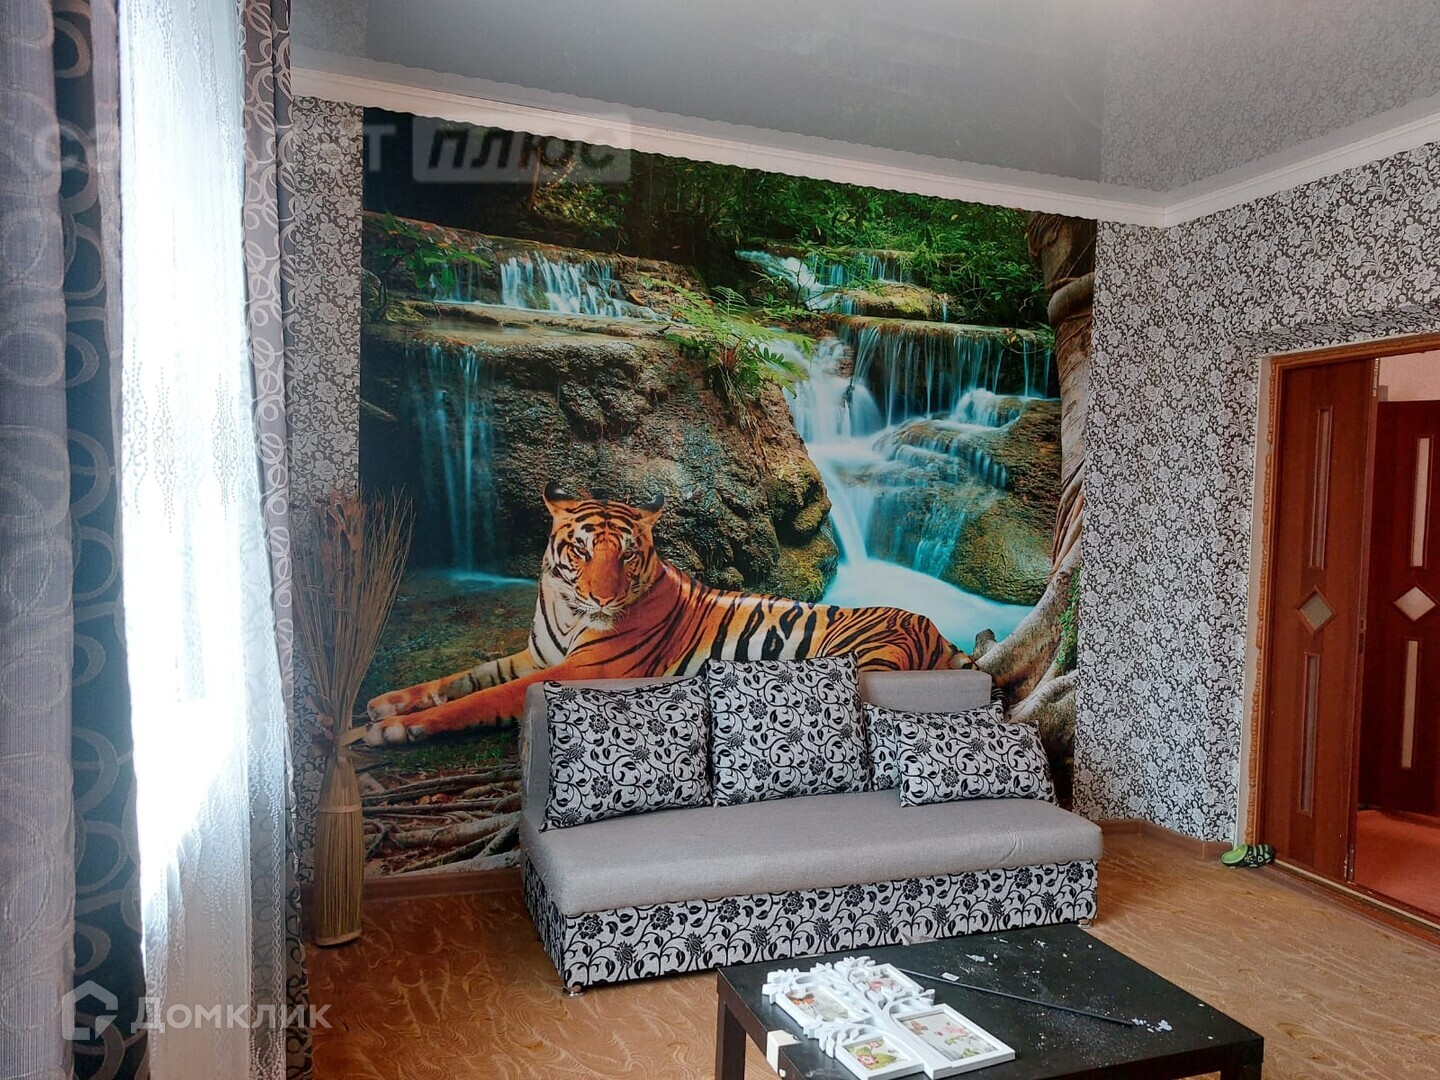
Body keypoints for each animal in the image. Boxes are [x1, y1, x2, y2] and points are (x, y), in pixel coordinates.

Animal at [364, 480, 968, 744]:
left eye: (627, 554)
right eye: (581, 550)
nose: (603, 598)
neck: (566, 608)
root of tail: (935, 628)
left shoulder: (582, 671)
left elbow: (481, 699)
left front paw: (394, 729)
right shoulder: (536, 656)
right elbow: (463, 679)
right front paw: (387, 702)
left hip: (867, 658)